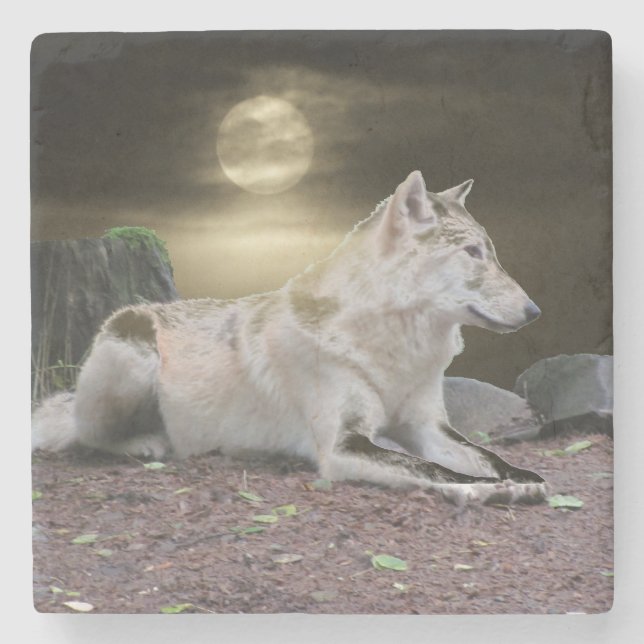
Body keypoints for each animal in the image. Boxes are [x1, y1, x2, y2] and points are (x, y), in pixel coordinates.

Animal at [32, 171, 546, 505]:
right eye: (473, 253)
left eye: (491, 251)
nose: (535, 311)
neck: (394, 348)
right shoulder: (342, 446)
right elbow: (430, 468)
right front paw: (484, 489)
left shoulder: (427, 427)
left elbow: (483, 453)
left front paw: (519, 475)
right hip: (132, 343)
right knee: (86, 435)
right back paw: (147, 443)